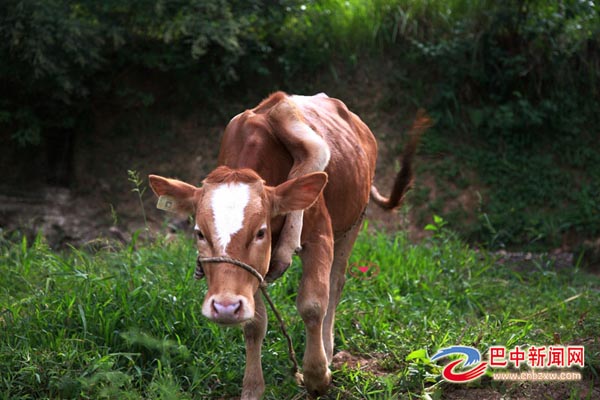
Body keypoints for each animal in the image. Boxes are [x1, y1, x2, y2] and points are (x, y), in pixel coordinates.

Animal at [147, 92, 424, 398]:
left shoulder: (320, 237)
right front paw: (252, 387)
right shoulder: (252, 273)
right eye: (199, 233)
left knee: (335, 283)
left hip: (354, 221)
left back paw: (328, 349)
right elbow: (255, 324)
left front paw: (316, 375)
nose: (225, 307)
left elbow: (313, 305)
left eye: (260, 232)